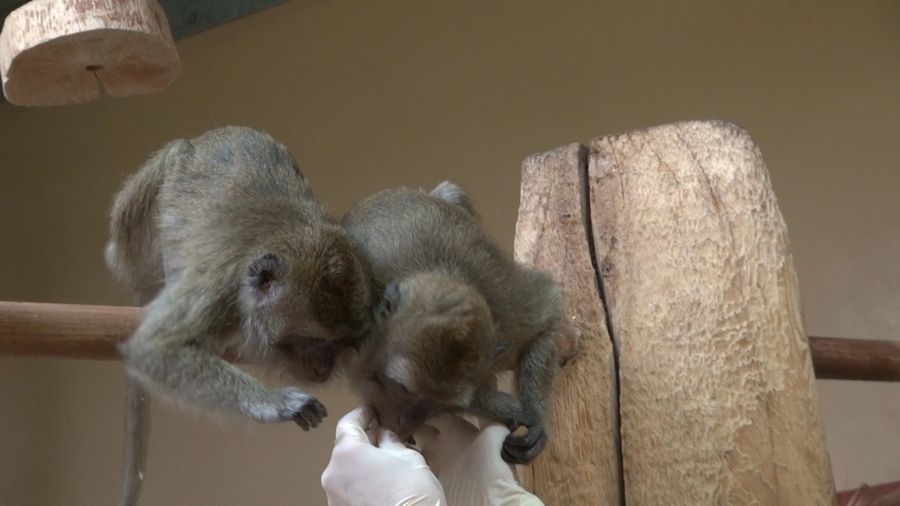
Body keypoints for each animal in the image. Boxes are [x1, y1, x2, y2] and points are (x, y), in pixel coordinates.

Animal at [344, 182, 564, 462]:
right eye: (400, 388)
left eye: (436, 405)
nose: (402, 423)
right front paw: (507, 408)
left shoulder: (506, 309)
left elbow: (546, 321)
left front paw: (534, 419)